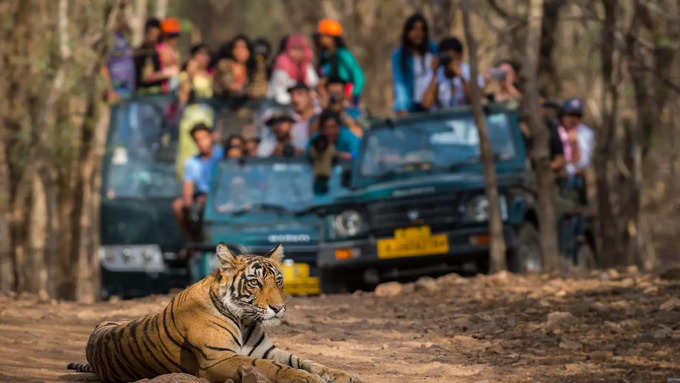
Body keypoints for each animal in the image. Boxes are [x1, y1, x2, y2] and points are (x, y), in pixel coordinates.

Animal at [68, 244, 362, 382]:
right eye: (255, 282)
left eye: (278, 281)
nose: (279, 308)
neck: (245, 320)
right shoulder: (218, 359)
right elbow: (272, 367)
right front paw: (305, 378)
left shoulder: (267, 349)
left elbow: (305, 360)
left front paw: (342, 374)